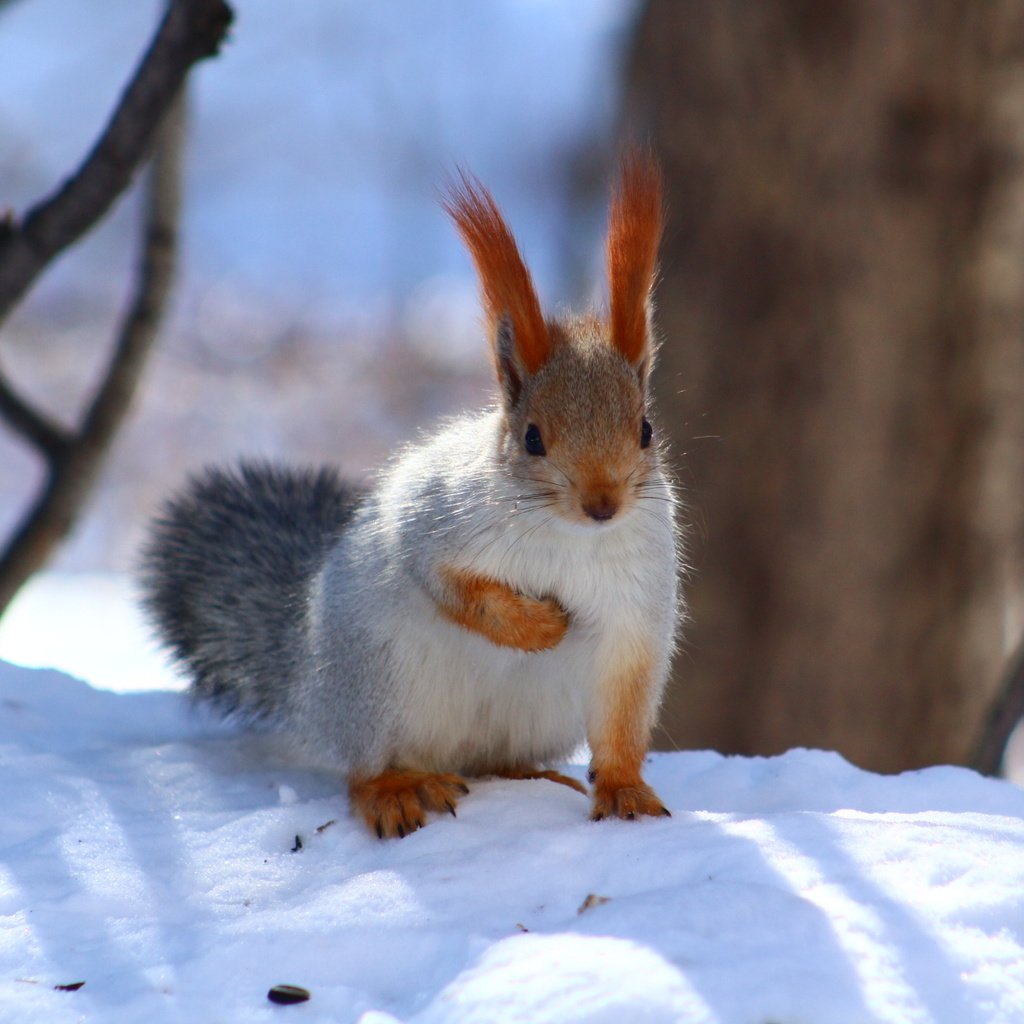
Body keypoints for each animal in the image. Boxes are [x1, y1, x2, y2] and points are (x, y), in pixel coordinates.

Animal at [136, 149, 679, 839]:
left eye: (646, 429)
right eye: (532, 438)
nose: (603, 505)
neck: (570, 537)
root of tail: (312, 688)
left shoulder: (636, 613)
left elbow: (623, 715)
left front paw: (625, 789)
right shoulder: (436, 521)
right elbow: (449, 584)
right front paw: (536, 626)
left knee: (493, 761)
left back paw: (530, 775)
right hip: (380, 683)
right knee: (365, 770)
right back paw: (393, 790)